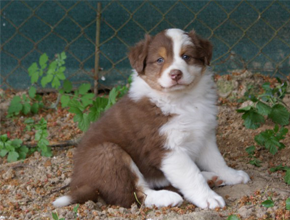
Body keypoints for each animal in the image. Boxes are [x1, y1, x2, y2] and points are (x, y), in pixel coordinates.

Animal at [53, 28, 249, 210]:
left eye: (186, 56)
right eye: (160, 60)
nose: (175, 74)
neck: (182, 100)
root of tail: (81, 186)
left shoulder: (204, 134)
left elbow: (216, 160)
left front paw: (231, 175)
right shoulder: (166, 148)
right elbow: (191, 174)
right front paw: (208, 198)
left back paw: (210, 177)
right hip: (107, 153)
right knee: (132, 194)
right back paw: (167, 197)